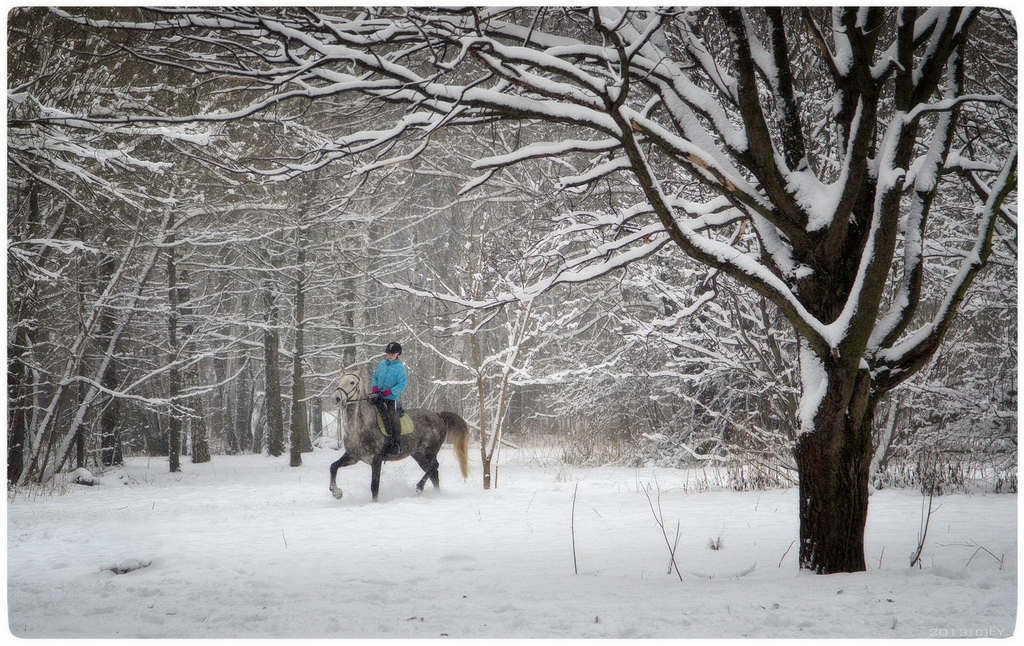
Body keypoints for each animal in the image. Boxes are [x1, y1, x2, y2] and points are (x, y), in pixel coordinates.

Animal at [329, 368, 468, 499]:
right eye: (339, 380)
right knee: (434, 473)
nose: (336, 398)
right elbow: (333, 466)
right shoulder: (352, 457)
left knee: (434, 467)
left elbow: (374, 487)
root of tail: (437, 415)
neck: (360, 428)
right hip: (419, 455)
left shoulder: (376, 460)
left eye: (352, 382)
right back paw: (436, 495)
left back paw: (420, 487)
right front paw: (336, 492)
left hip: (429, 452)